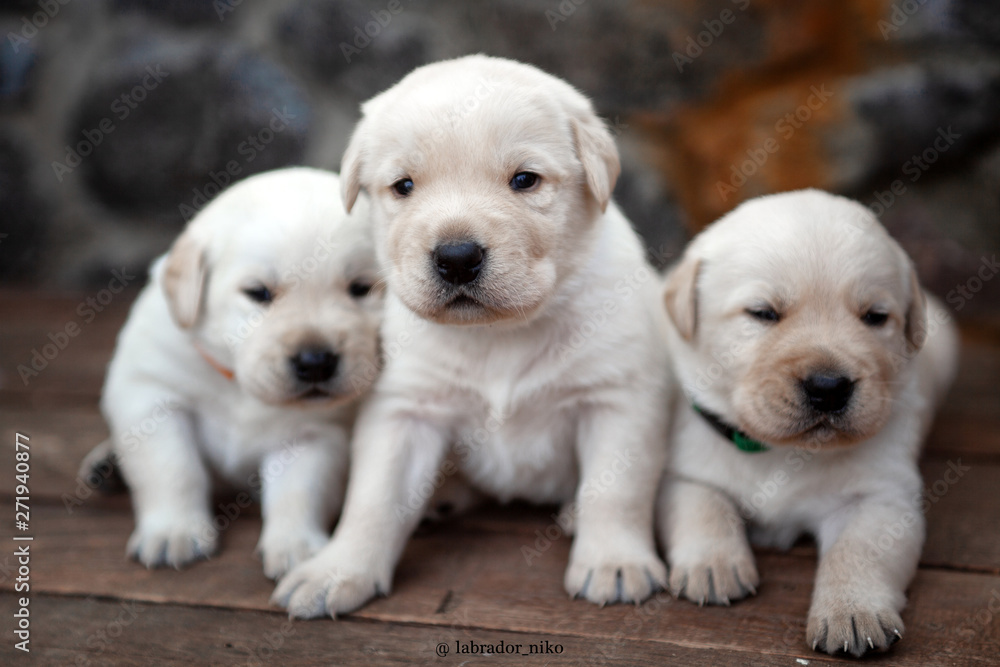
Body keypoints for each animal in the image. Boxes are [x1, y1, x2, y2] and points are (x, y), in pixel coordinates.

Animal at [272, 54, 672, 620]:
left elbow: (615, 490)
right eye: (404, 186)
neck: (500, 332)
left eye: (524, 180)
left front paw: (615, 561)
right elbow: (372, 498)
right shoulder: (405, 409)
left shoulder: (620, 398)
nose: (457, 257)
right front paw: (337, 570)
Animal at [660, 189, 956, 656]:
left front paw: (852, 612)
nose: (828, 386)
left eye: (875, 316)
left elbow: (857, 550)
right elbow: (702, 503)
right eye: (763, 313)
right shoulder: (686, 465)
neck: (783, 451)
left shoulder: (883, 498)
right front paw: (713, 565)